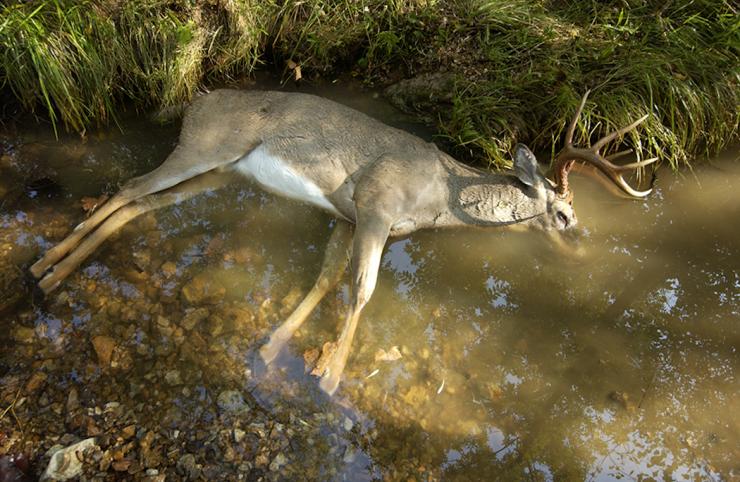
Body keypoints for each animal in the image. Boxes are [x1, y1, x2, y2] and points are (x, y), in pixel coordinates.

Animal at [28, 89, 656, 396]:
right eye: (565, 214)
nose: (580, 248)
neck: (439, 194)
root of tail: (194, 101)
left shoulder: (345, 218)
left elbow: (326, 276)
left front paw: (272, 348)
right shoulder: (376, 207)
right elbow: (361, 289)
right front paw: (329, 378)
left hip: (226, 172)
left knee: (141, 203)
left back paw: (48, 272)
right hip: (206, 146)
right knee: (131, 185)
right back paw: (46, 268)